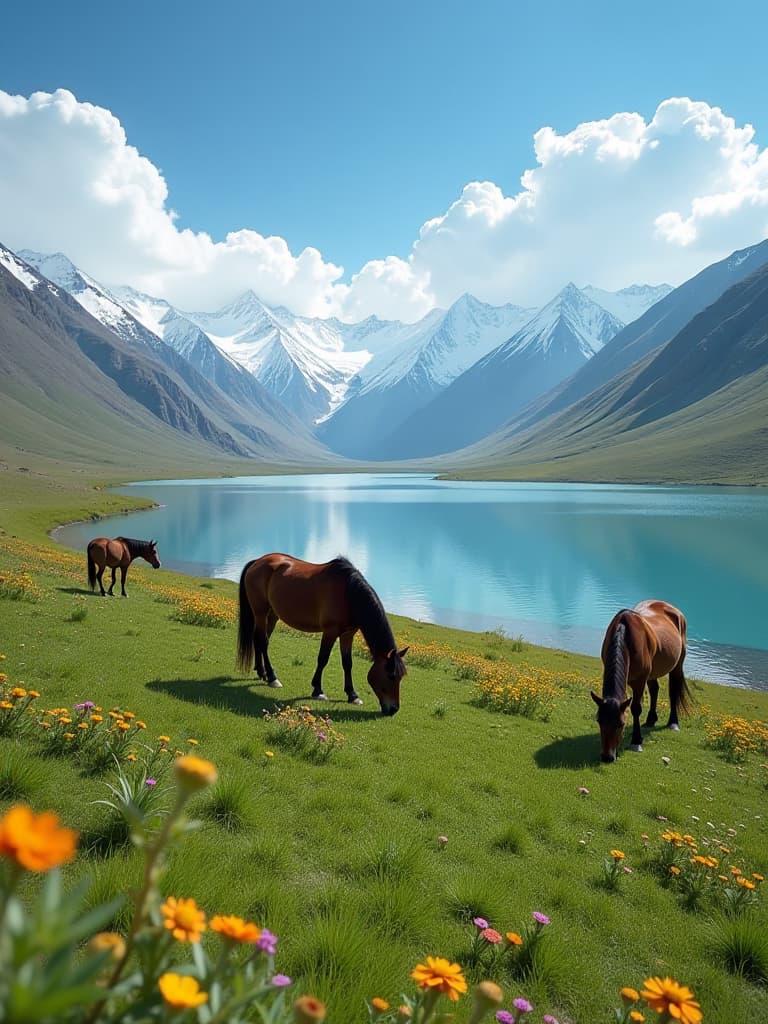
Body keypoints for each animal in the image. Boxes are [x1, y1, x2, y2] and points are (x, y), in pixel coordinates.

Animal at [237, 557, 409, 716]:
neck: (348, 593)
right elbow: (323, 659)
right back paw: (272, 678)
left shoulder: (348, 634)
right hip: (260, 612)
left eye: (401, 676)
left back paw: (262, 672)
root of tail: (257, 561)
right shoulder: (330, 632)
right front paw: (318, 690)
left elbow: (347, 663)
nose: (393, 709)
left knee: (259, 640)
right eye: (391, 676)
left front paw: (352, 695)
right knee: (263, 641)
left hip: (272, 615)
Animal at [593, 598, 696, 761]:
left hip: (677, 665)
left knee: (673, 691)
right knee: (654, 689)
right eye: (599, 720)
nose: (607, 757)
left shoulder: (640, 681)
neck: (625, 635)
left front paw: (636, 741)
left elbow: (636, 708)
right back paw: (651, 719)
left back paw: (673, 722)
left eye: (620, 724)